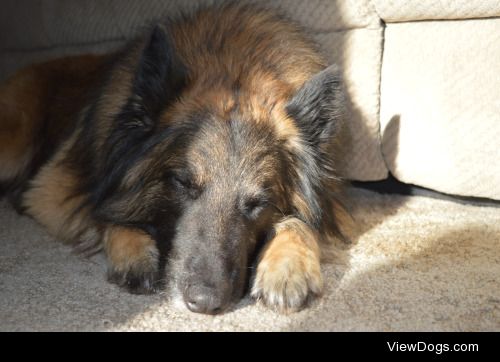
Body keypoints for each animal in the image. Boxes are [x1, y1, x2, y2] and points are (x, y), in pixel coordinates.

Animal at [0, 2, 348, 314]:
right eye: (182, 182)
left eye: (258, 203)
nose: (205, 303)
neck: (236, 68)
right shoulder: (50, 190)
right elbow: (101, 212)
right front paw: (134, 252)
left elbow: (299, 223)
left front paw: (287, 268)